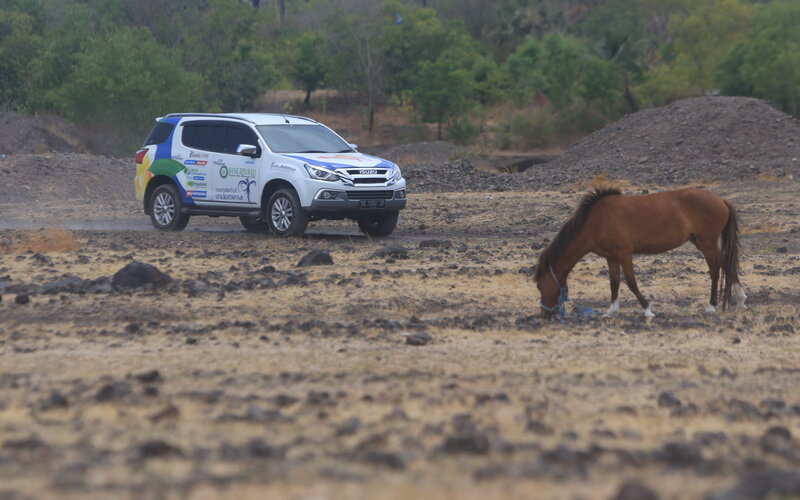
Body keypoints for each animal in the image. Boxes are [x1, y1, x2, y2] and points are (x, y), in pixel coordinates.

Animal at [536, 188, 748, 320]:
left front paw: (647, 310)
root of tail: (721, 200)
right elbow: (614, 283)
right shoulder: (611, 257)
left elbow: (631, 282)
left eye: (539, 285)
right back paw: (741, 300)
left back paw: (711, 306)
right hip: (702, 242)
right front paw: (611, 311)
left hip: (707, 244)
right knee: (727, 264)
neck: (596, 221)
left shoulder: (624, 254)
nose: (545, 314)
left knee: (715, 270)